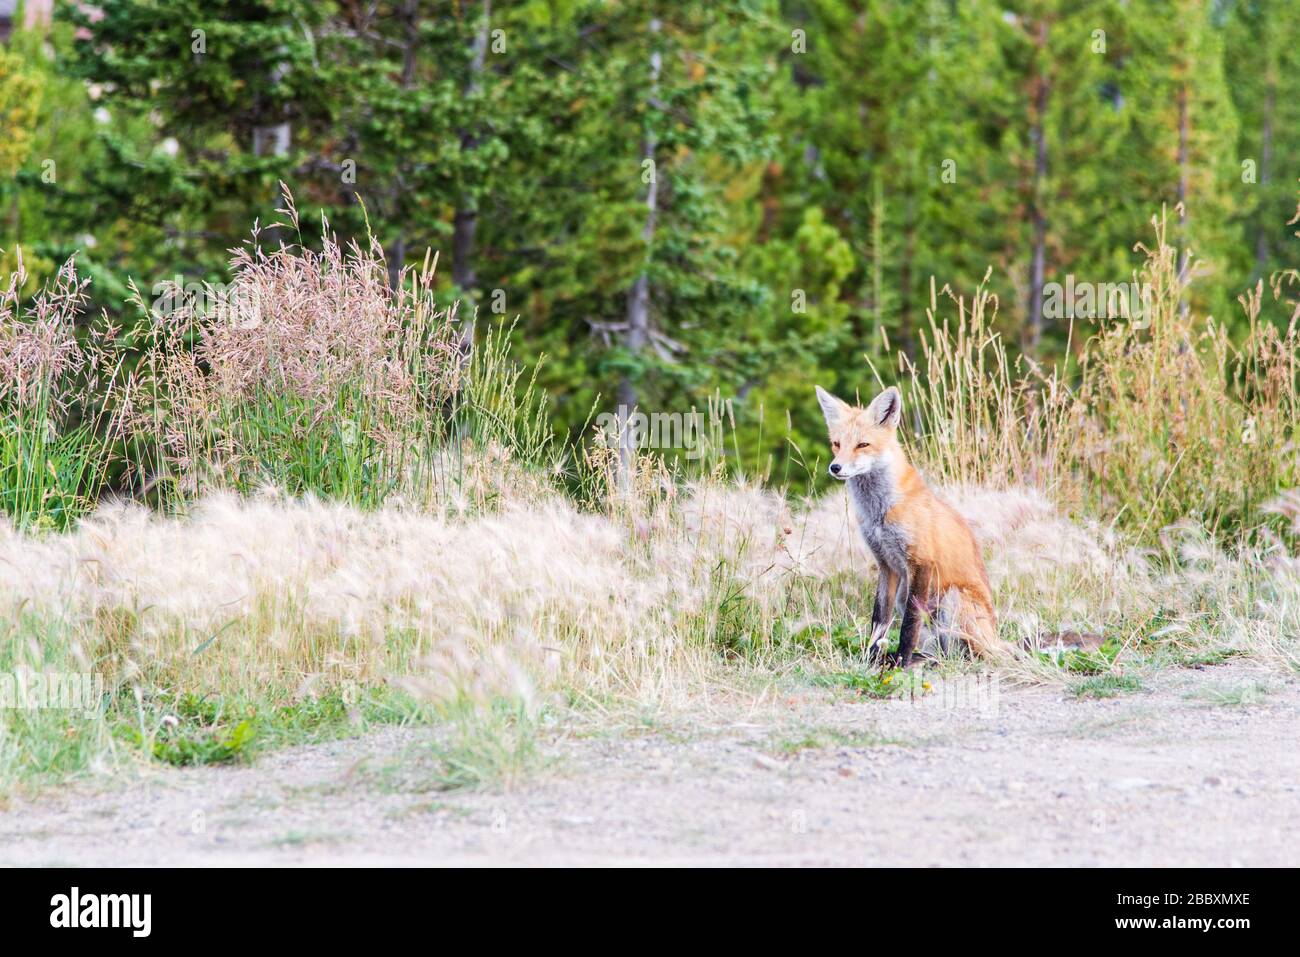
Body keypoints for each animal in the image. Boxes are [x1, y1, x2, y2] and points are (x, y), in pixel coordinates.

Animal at [816, 384, 1006, 668]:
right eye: (837, 444)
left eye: (863, 445)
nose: (835, 467)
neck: (879, 512)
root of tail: (995, 638)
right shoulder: (886, 564)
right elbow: (879, 620)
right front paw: (870, 657)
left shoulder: (921, 561)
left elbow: (909, 624)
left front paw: (900, 662)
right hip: (907, 599)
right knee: (939, 652)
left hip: (951, 600)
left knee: (968, 654)